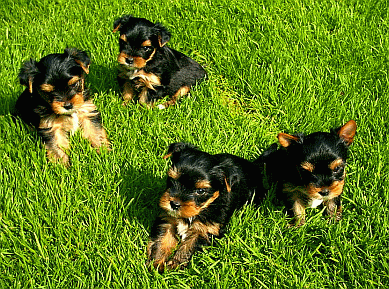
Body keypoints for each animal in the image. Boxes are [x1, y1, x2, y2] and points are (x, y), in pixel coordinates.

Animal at [147, 143, 266, 272]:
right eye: (172, 180)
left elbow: (189, 246)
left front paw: (175, 265)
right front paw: (157, 263)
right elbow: (163, 239)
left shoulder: (206, 229)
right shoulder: (168, 219)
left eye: (200, 191)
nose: (174, 204)